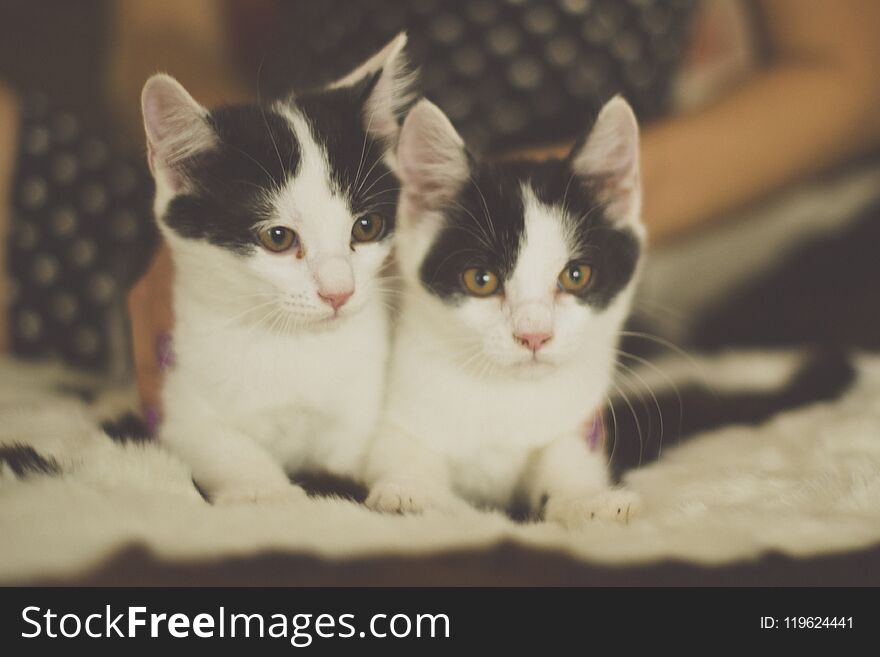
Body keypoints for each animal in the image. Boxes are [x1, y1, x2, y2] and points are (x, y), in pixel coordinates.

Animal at [143, 34, 418, 502]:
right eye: (278, 238)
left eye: (366, 227)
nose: (339, 292)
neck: (292, 345)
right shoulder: (181, 403)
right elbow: (219, 443)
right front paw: (264, 490)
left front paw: (402, 488)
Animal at [364, 96, 648, 528]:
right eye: (481, 279)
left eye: (576, 275)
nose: (533, 335)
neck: (507, 397)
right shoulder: (398, 409)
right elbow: (403, 449)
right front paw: (413, 492)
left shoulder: (579, 421)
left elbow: (566, 463)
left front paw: (589, 501)